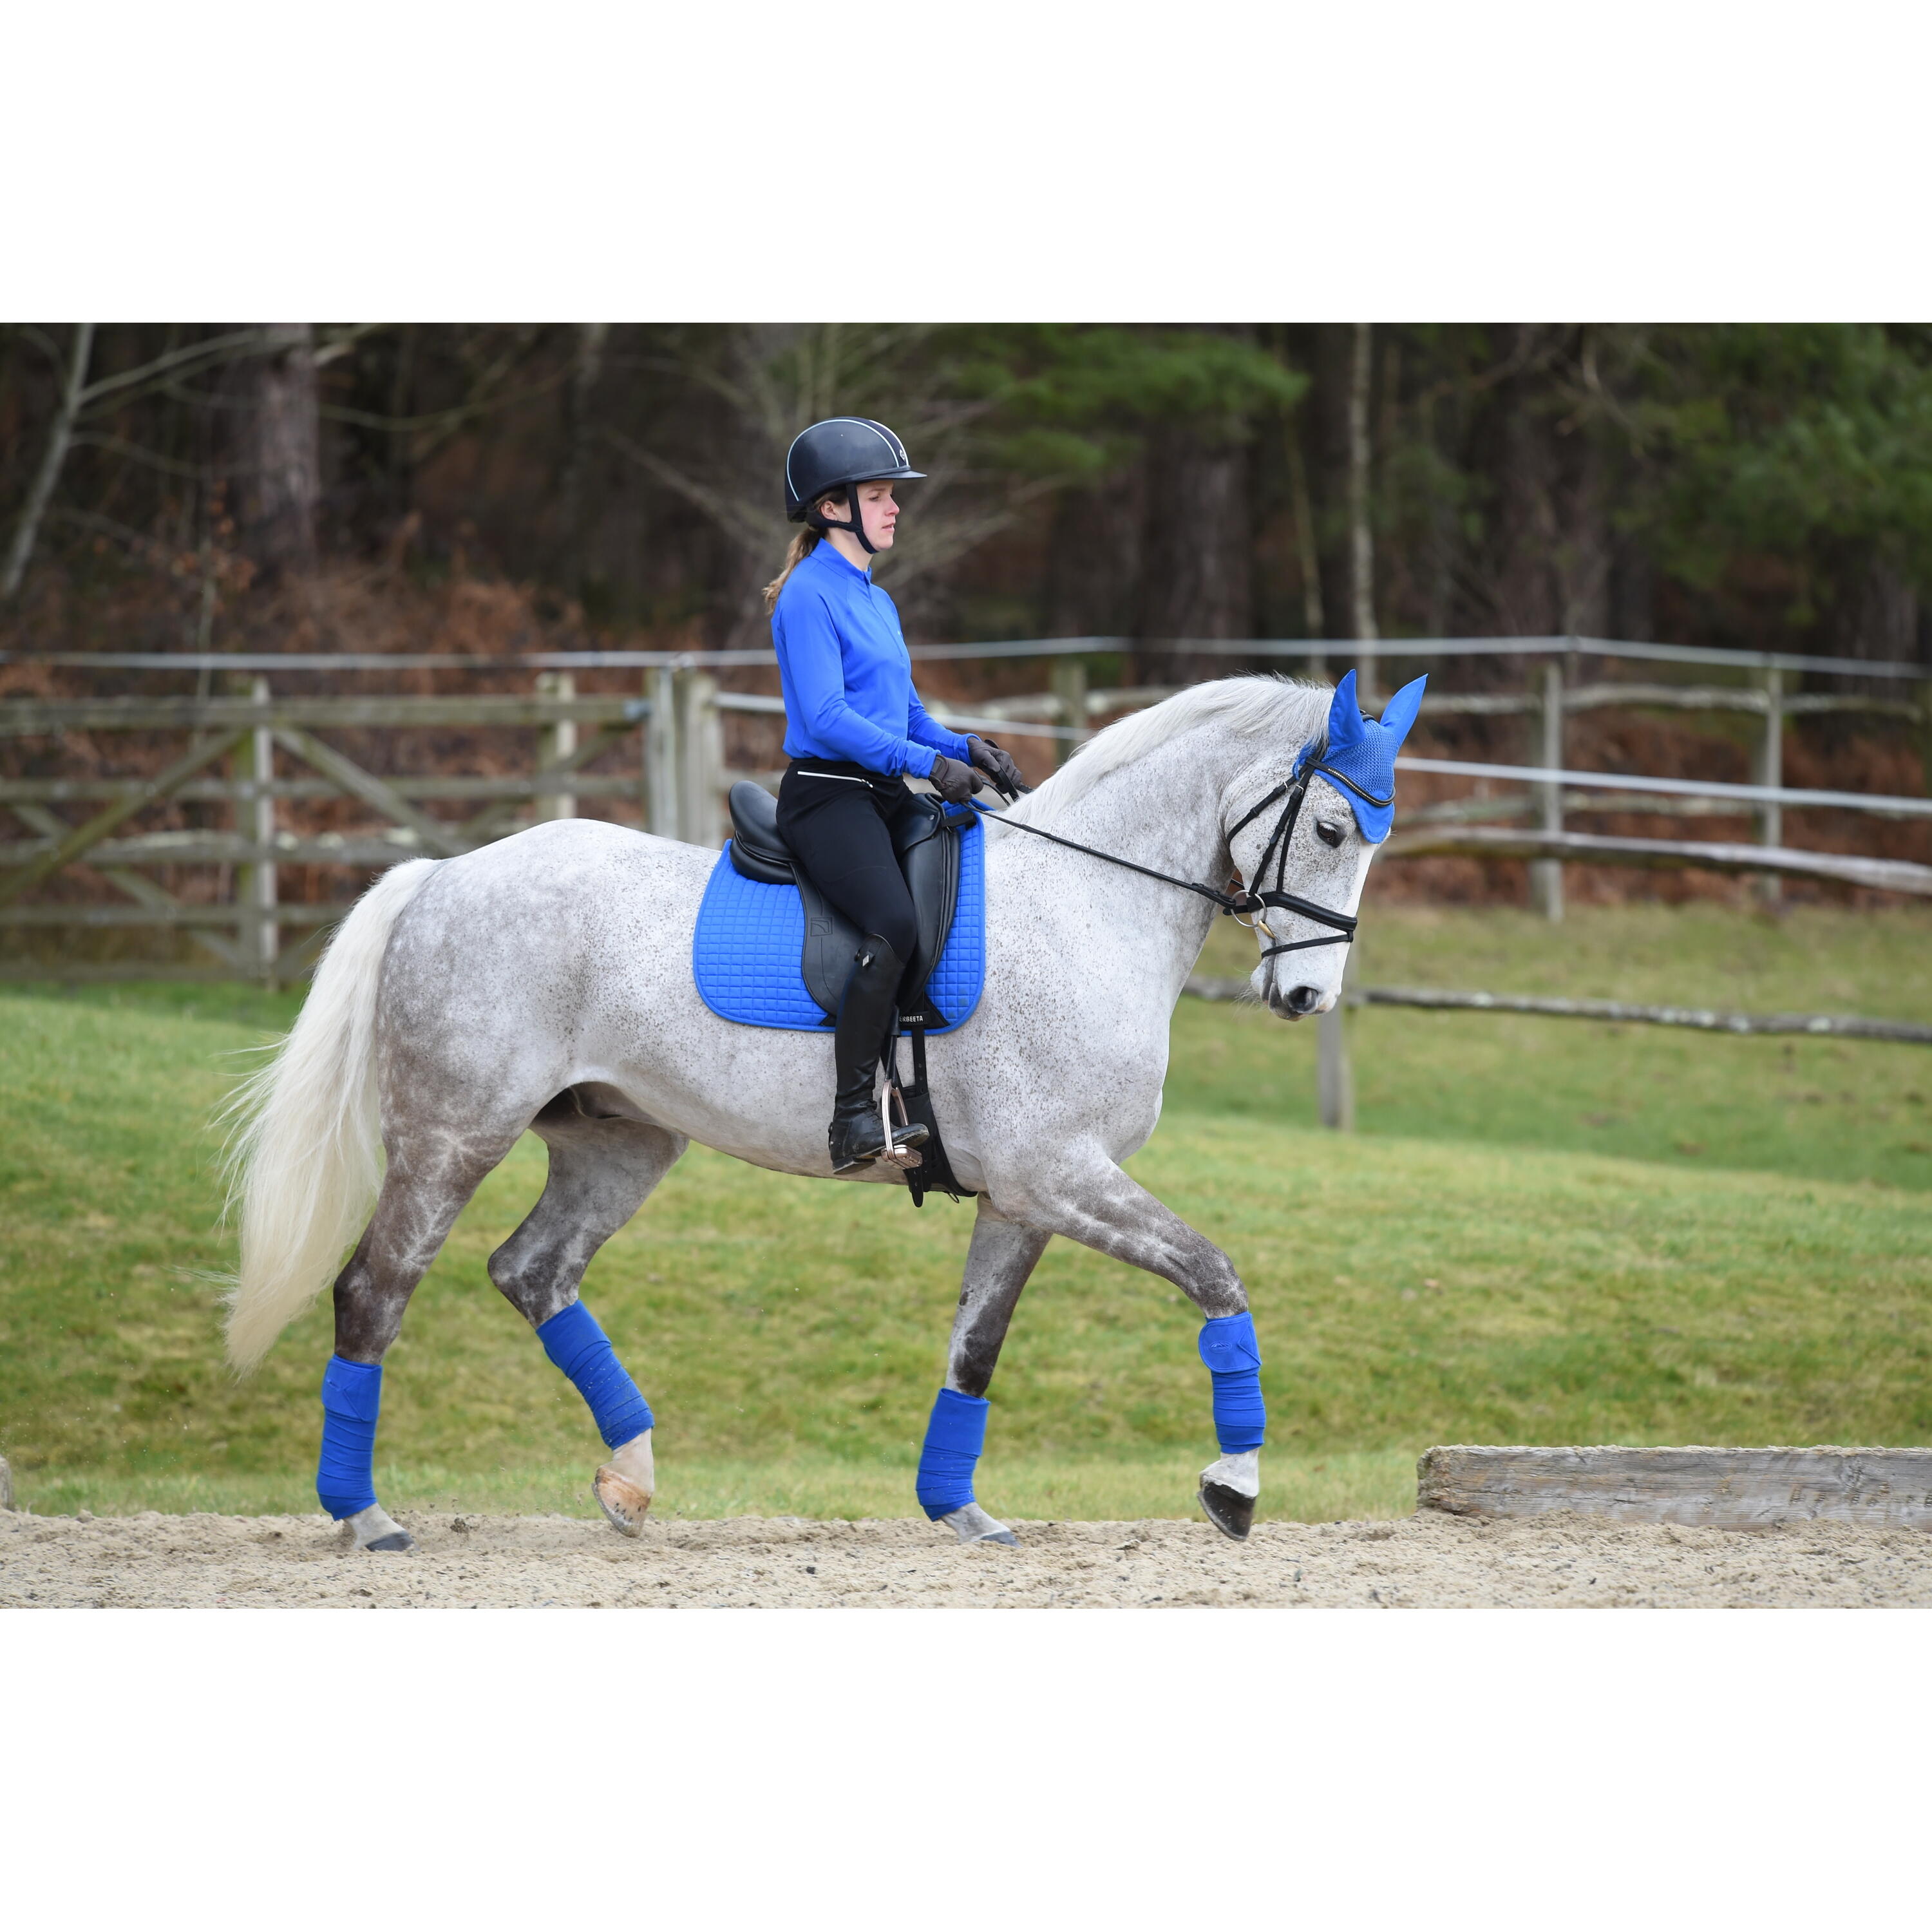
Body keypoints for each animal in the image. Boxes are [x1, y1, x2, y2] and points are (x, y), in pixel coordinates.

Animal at [223, 669, 1424, 1550]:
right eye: (1330, 829)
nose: (1307, 998)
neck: (1089, 904)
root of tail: (439, 875)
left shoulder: (1026, 1198)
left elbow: (974, 1350)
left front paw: (959, 1510)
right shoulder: (1060, 1175)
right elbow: (1216, 1275)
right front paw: (1235, 1484)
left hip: (621, 1144)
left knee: (534, 1273)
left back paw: (631, 1482)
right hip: (453, 1139)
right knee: (374, 1292)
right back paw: (367, 1517)